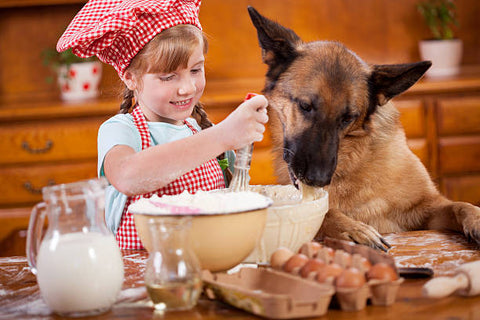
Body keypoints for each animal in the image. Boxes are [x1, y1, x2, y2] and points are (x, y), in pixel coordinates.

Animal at [248, 6, 480, 251]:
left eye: (348, 118)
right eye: (305, 106)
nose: (318, 179)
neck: (352, 161)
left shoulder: (426, 208)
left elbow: (460, 205)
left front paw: (476, 219)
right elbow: (327, 212)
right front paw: (354, 229)